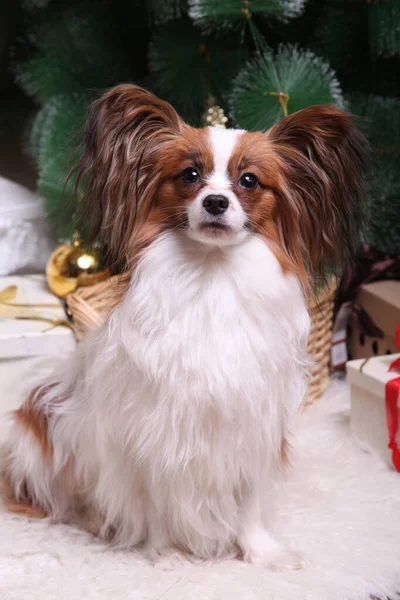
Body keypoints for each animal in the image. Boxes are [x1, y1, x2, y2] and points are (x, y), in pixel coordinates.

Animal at [0, 84, 368, 568]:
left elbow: (249, 506)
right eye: (190, 175)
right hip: (41, 439)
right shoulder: (152, 437)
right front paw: (166, 555)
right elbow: (155, 505)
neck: (211, 278)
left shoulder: (251, 427)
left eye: (249, 181)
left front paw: (261, 553)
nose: (215, 202)